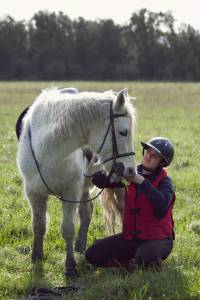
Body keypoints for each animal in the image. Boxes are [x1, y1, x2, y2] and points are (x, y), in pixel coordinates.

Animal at [16, 87, 136, 276]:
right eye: (123, 132)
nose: (131, 170)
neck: (49, 149)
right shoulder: (34, 193)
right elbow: (38, 225)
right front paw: (36, 256)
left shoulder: (70, 193)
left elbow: (68, 229)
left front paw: (70, 266)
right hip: (84, 189)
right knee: (86, 212)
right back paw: (80, 245)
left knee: (122, 208)